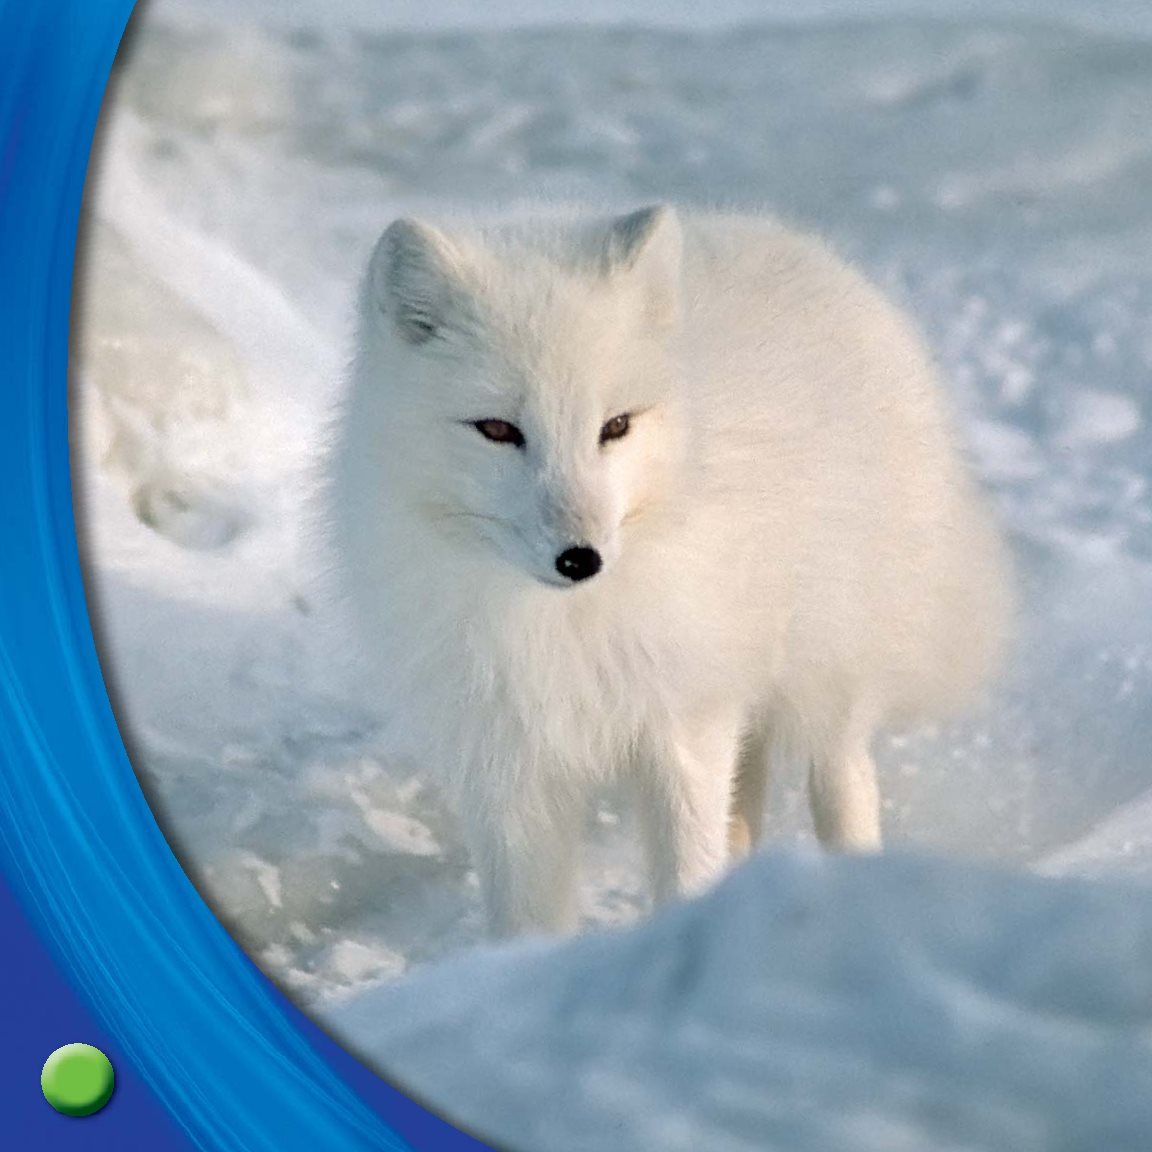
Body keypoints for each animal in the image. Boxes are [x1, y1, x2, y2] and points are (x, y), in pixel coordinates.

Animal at [329, 207, 1013, 940]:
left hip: (825, 671)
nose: (581, 559)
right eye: (497, 429)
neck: (559, 627)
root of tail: (791, 237)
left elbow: (687, 867)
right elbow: (529, 919)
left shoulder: (684, 723)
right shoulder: (509, 761)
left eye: (615, 426)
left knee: (842, 777)